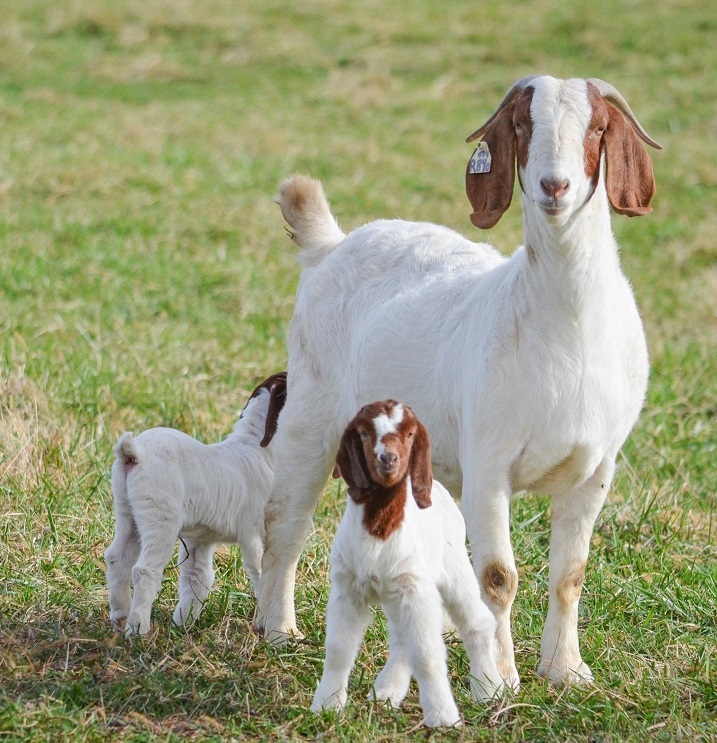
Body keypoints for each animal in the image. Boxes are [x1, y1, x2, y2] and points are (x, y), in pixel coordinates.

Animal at [258, 77, 660, 692]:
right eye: (521, 126)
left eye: (597, 129)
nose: (555, 186)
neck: (565, 326)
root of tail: (333, 243)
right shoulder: (489, 463)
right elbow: (498, 576)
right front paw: (499, 681)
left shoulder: (597, 467)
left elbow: (570, 573)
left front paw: (566, 670)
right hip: (311, 412)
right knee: (286, 521)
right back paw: (278, 629)